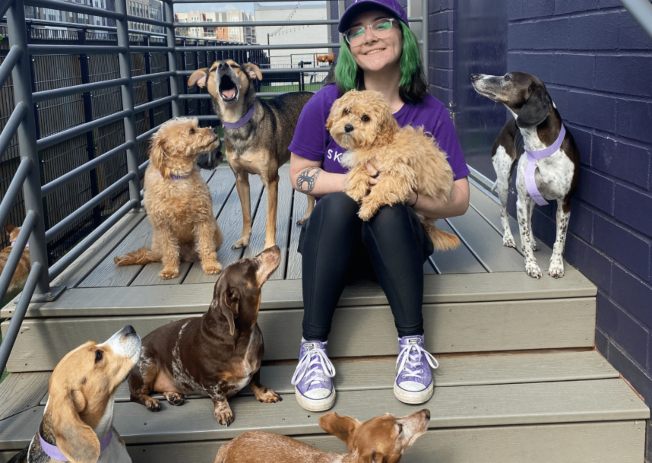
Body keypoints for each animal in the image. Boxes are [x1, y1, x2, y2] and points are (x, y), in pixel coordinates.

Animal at [113, 118, 223, 280]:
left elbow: (206, 245)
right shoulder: (163, 225)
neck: (178, 176)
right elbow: (170, 250)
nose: (214, 130)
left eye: (197, 125)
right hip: (157, 243)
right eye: (191, 130)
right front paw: (170, 270)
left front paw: (211, 266)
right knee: (151, 255)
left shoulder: (203, 219)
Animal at [187, 61, 314, 252]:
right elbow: (246, 214)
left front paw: (269, 245)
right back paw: (307, 216)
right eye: (213, 68)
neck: (238, 124)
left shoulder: (270, 180)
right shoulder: (240, 179)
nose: (223, 65)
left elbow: (270, 218)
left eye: (234, 65)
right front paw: (244, 239)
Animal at [328, 89, 460, 250]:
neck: (379, 142)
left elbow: (381, 189)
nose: (348, 127)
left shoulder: (398, 171)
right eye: (346, 111)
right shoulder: (367, 163)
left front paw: (366, 208)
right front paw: (353, 193)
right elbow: (358, 172)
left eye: (365, 118)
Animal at [468, 72, 580, 280]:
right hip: (504, 184)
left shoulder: (565, 203)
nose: (474, 75)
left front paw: (556, 265)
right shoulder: (521, 199)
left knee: (528, 219)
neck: (542, 149)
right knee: (504, 212)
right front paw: (531, 266)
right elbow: (525, 235)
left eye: (507, 77)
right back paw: (508, 237)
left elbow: (560, 238)